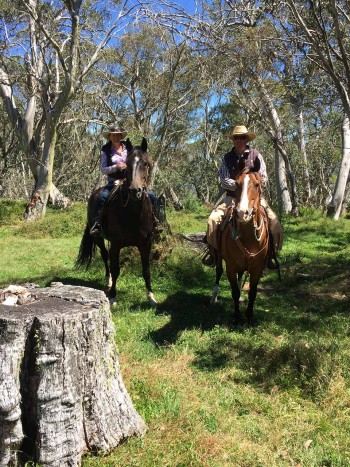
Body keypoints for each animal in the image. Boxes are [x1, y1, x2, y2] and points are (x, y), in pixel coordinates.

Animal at [78, 138, 158, 308]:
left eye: (145, 163)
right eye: (127, 164)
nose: (135, 190)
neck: (133, 213)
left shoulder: (146, 243)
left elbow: (146, 270)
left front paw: (151, 297)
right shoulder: (115, 244)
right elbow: (115, 270)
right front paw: (113, 297)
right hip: (98, 238)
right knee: (105, 257)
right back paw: (108, 282)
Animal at [212, 157, 270, 326]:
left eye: (257, 184)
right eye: (236, 184)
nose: (242, 213)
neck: (248, 237)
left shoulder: (258, 269)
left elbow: (252, 292)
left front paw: (249, 316)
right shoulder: (230, 267)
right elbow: (234, 291)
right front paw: (237, 317)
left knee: (241, 275)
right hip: (219, 256)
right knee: (218, 272)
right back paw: (214, 296)